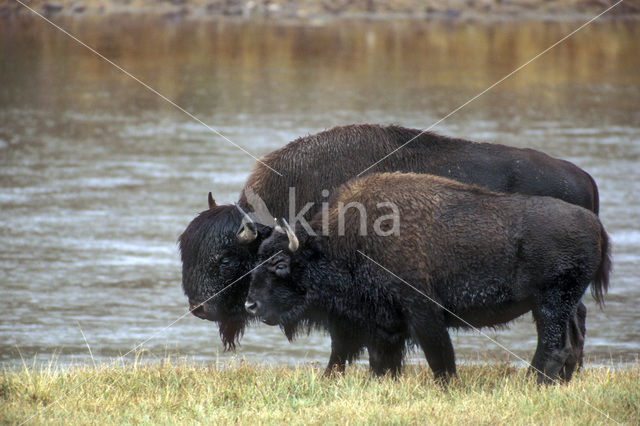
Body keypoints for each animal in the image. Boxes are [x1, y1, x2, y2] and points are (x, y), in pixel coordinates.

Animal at [245, 171, 608, 384]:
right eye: (258, 260)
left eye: (280, 263)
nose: (251, 305)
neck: (345, 242)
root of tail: (595, 225)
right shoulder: (381, 323)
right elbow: (378, 360)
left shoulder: (421, 310)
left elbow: (439, 356)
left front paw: (448, 386)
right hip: (559, 304)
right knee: (570, 341)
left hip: (549, 303)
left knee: (554, 345)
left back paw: (531, 383)